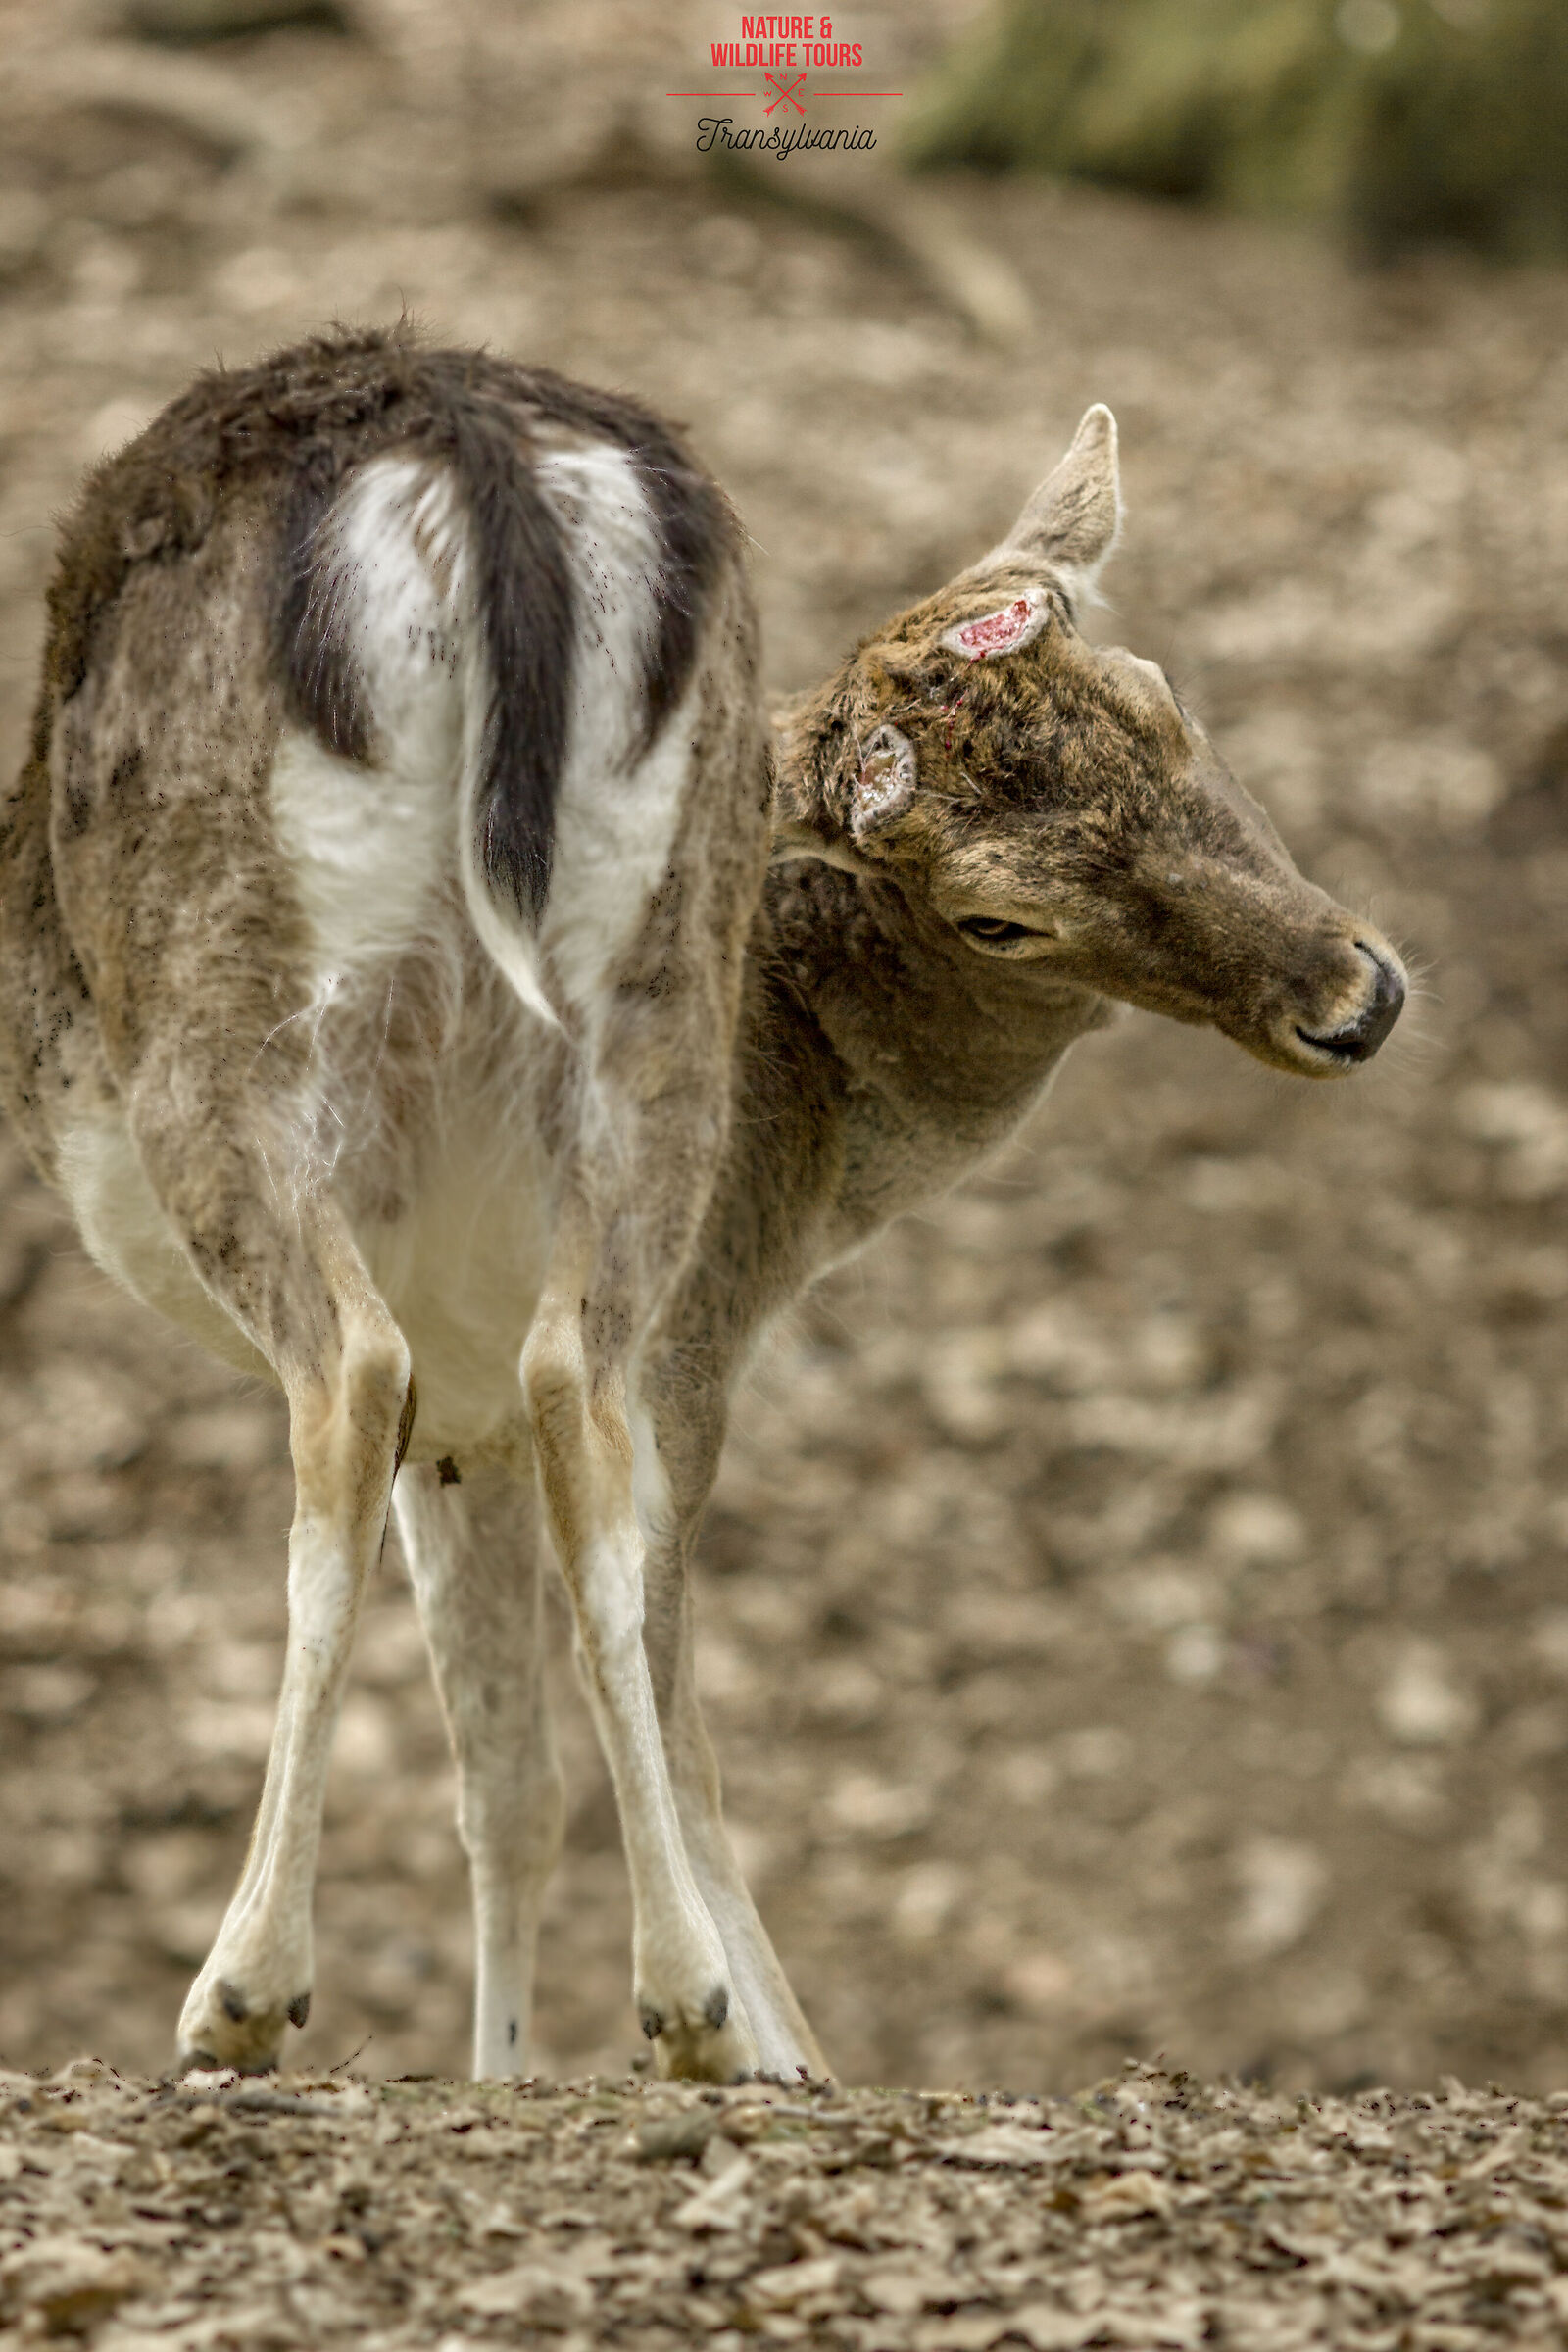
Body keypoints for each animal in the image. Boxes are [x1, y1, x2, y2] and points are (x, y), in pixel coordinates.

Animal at [0, 326, 1400, 2079]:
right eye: (994, 918)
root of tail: (477, 471)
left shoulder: (517, 1391)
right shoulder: (545, 1388)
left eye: (1160, 699)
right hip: (623, 1089)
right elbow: (535, 1773)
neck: (813, 1177)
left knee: (362, 1387)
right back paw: (667, 2012)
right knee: (559, 1448)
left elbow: (543, 1764)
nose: (1356, 994)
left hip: (255, 1041)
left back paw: (275, 1991)